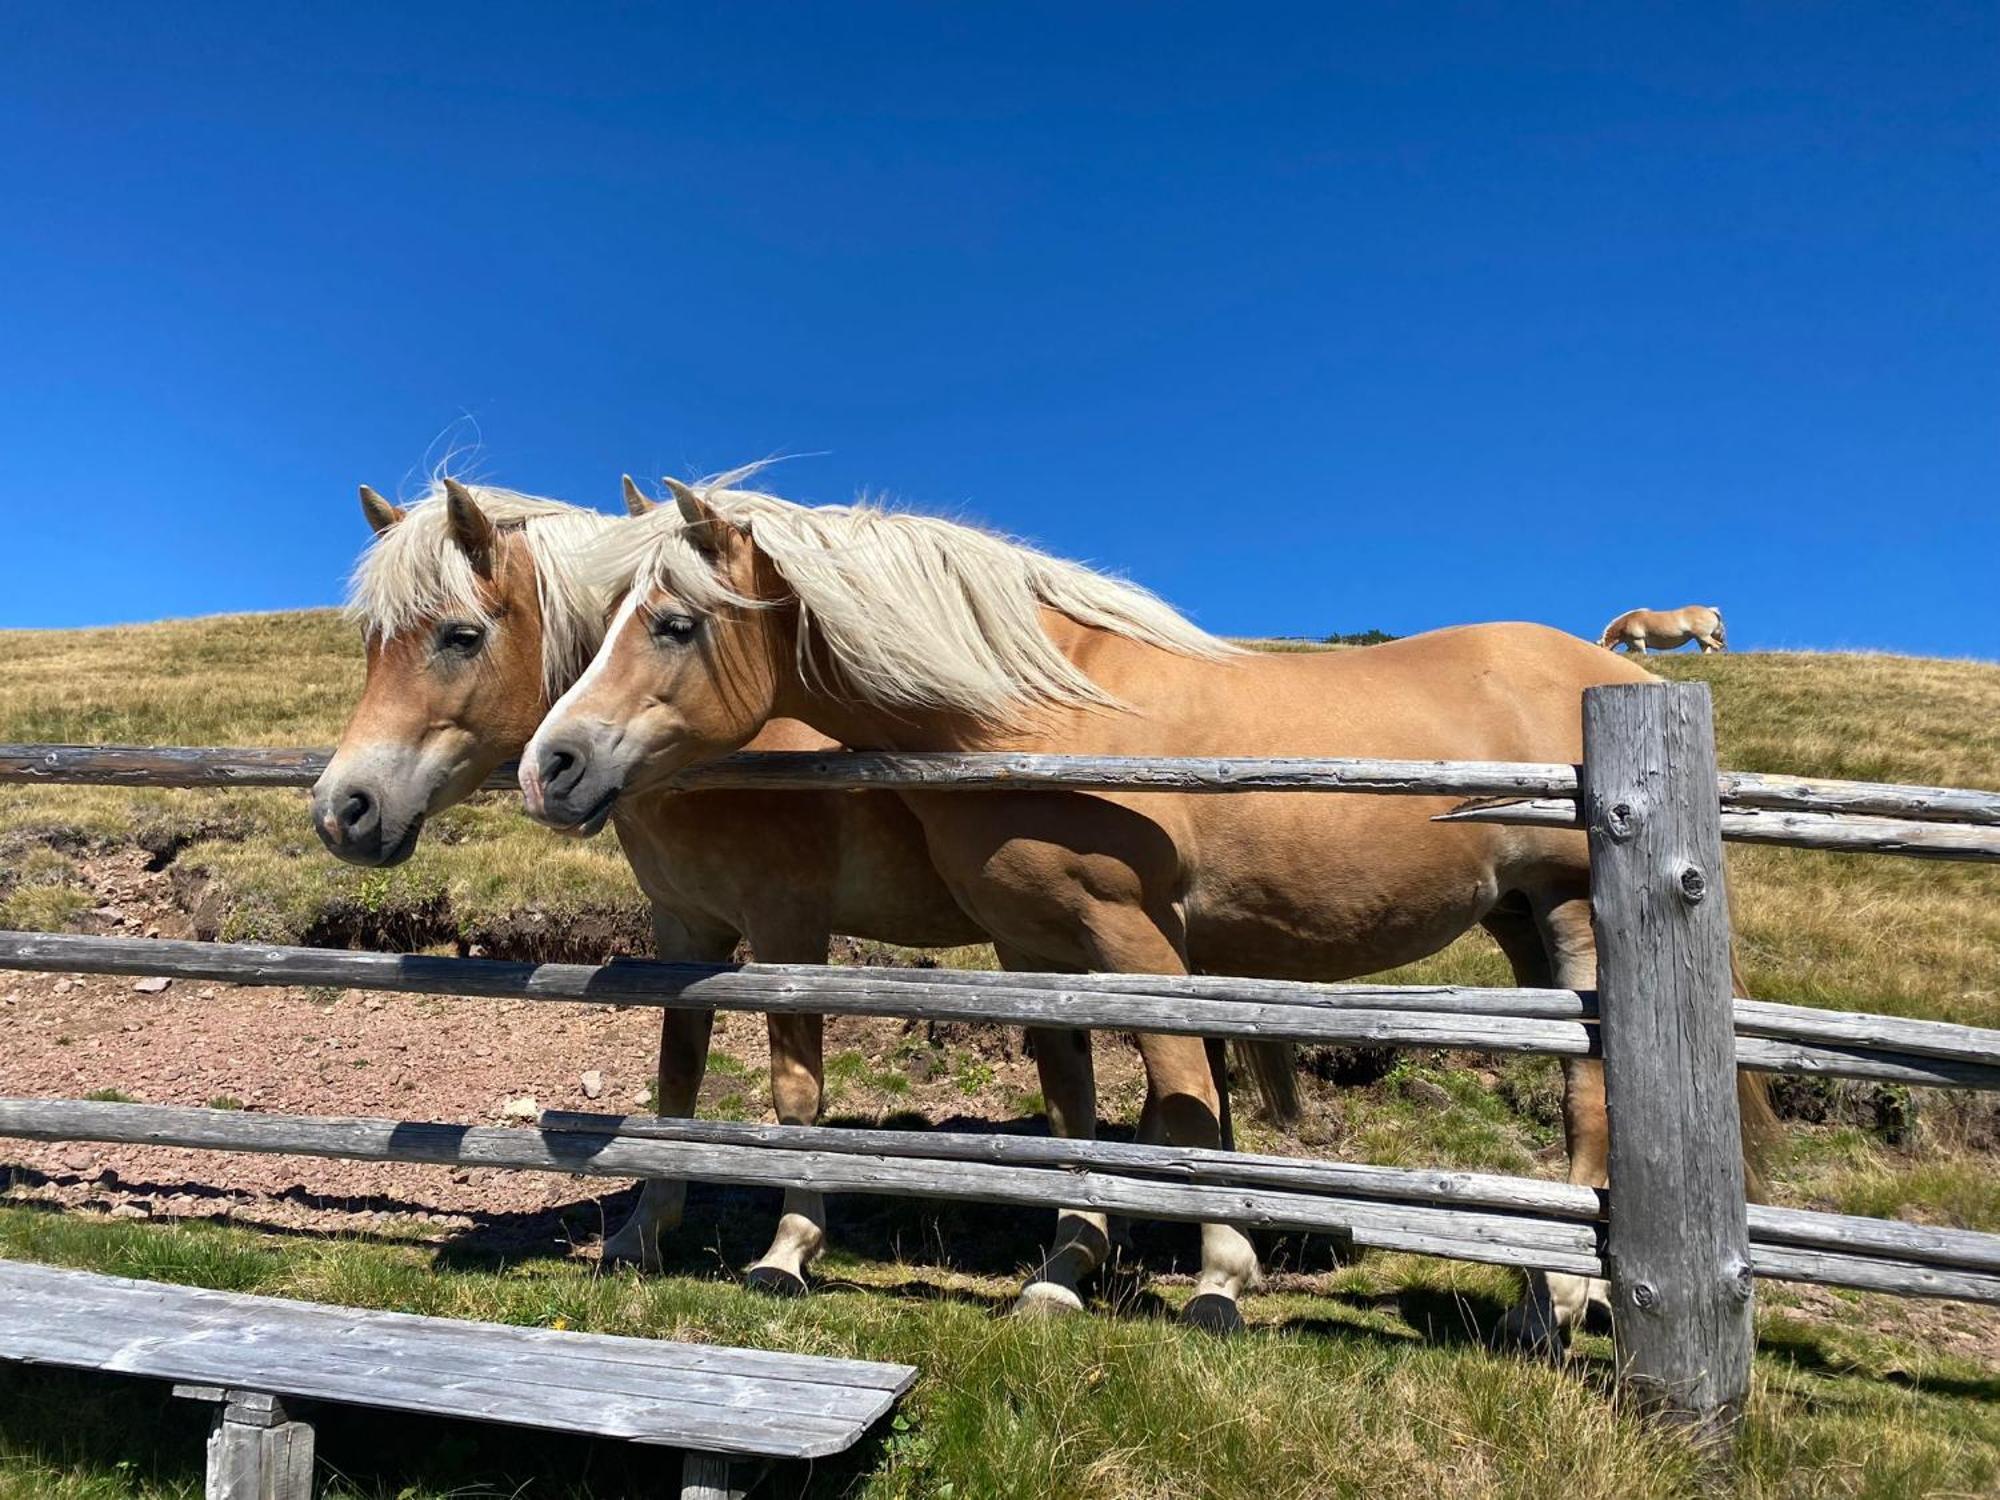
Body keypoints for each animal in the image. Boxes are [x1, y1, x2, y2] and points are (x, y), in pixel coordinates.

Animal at [1600, 608, 1728, 656]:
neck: (1626, 622)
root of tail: (1711, 610)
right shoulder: (1632, 646)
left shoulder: (1638, 641)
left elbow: (1643, 654)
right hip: (1701, 639)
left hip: (1703, 636)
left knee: (1718, 646)